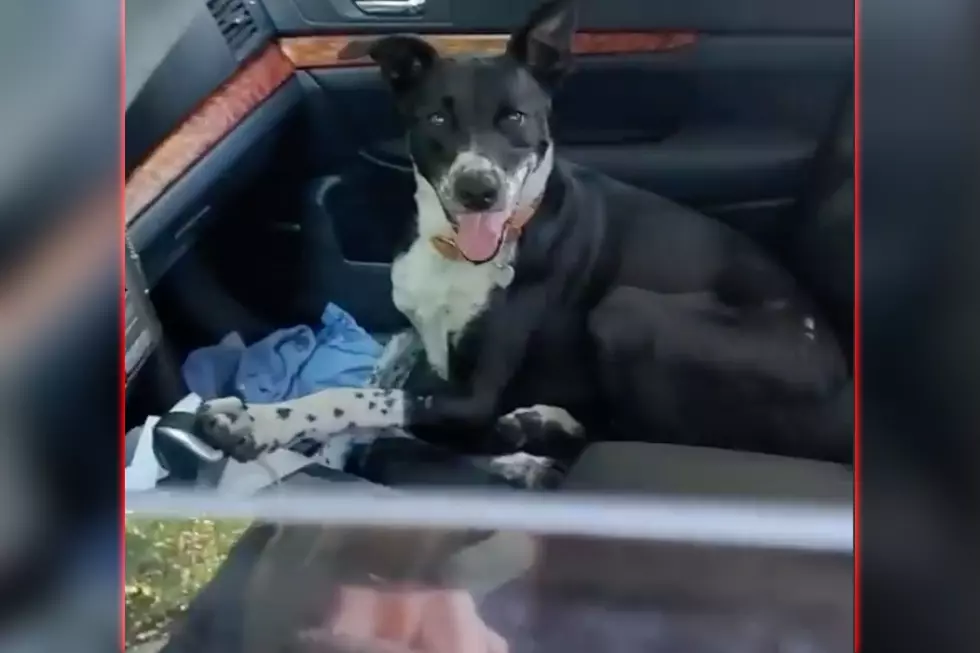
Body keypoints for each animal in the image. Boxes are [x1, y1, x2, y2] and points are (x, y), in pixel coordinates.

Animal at [195, 0, 852, 472]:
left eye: (514, 117)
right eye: (437, 117)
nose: (478, 190)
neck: (455, 254)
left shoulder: (471, 397)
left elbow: (358, 399)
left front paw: (261, 422)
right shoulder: (419, 335)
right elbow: (383, 369)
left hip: (626, 311)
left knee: (647, 433)